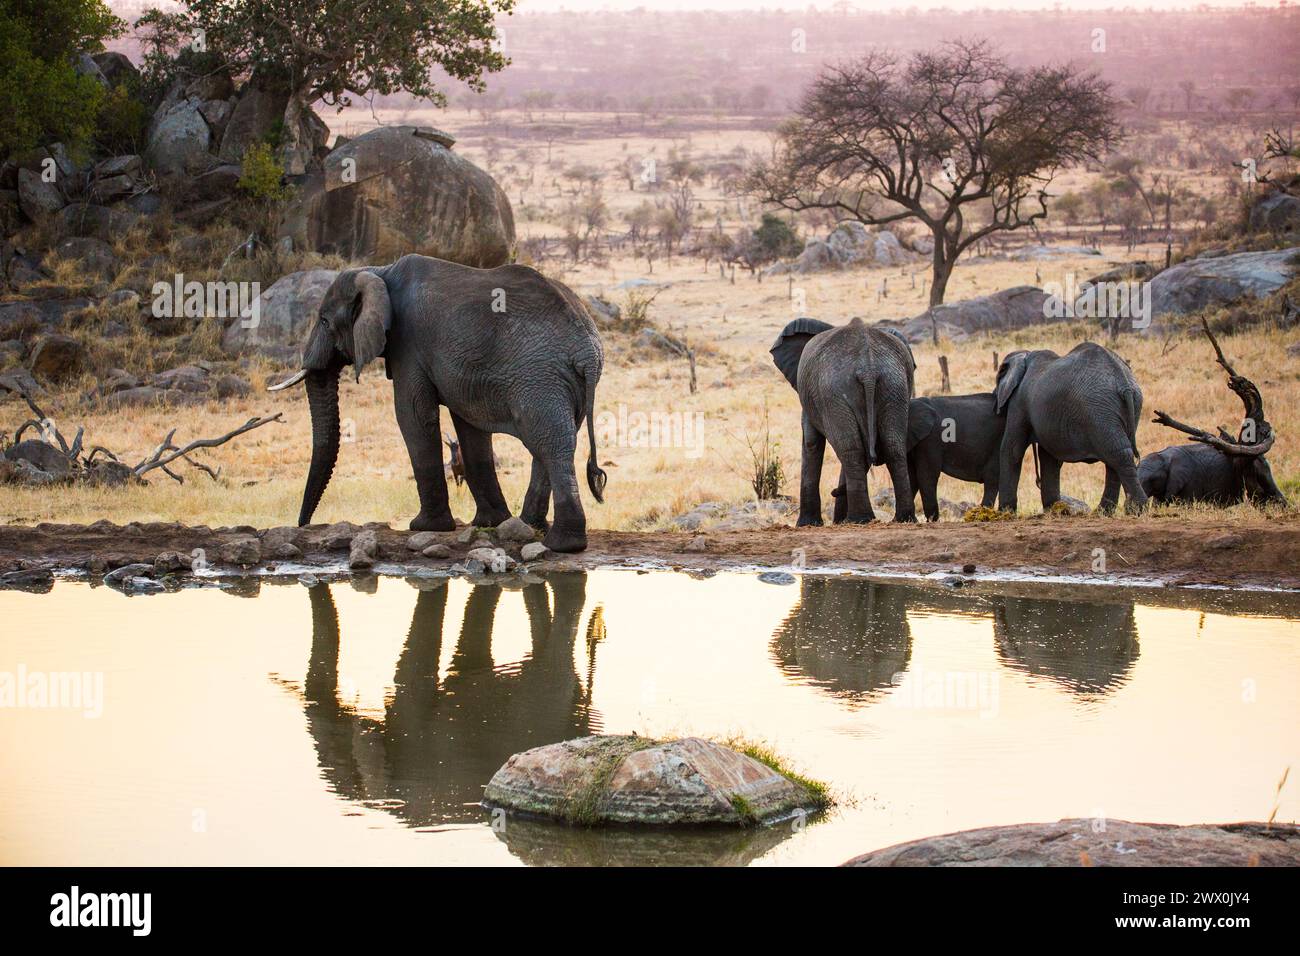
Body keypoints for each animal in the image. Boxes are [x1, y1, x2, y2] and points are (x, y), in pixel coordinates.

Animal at [271, 254, 605, 554]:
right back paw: (529, 526)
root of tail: (587, 350)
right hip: (561, 383)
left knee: (551, 444)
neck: (378, 270)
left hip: (538, 376)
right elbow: (468, 426)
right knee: (552, 443)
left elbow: (413, 415)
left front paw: (424, 527)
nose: (303, 524)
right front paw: (490, 523)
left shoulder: (408, 344)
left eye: (324, 321)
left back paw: (563, 544)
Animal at [769, 316, 915, 522]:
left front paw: (807, 524)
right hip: (895, 386)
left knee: (850, 449)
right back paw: (902, 518)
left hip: (833, 391)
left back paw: (858, 519)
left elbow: (811, 443)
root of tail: (867, 368)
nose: (833, 491)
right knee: (892, 446)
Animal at [998, 343, 1144, 515]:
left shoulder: (1019, 401)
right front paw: (1053, 508)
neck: (1025, 355)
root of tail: (1124, 383)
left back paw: (1135, 510)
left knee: (1117, 454)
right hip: (1126, 406)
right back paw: (1107, 511)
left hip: (1098, 411)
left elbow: (1012, 449)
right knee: (1117, 455)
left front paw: (1004, 513)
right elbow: (1048, 457)